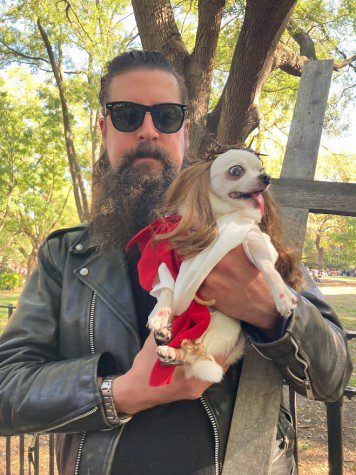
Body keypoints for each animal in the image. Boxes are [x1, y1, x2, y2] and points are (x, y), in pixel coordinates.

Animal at [142, 151, 298, 384]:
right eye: (236, 170)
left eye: (261, 169)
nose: (267, 177)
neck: (220, 219)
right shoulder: (168, 262)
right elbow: (167, 290)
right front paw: (160, 314)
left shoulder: (253, 238)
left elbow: (268, 267)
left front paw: (282, 296)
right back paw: (167, 339)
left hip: (222, 331)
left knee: (193, 357)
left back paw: (172, 352)